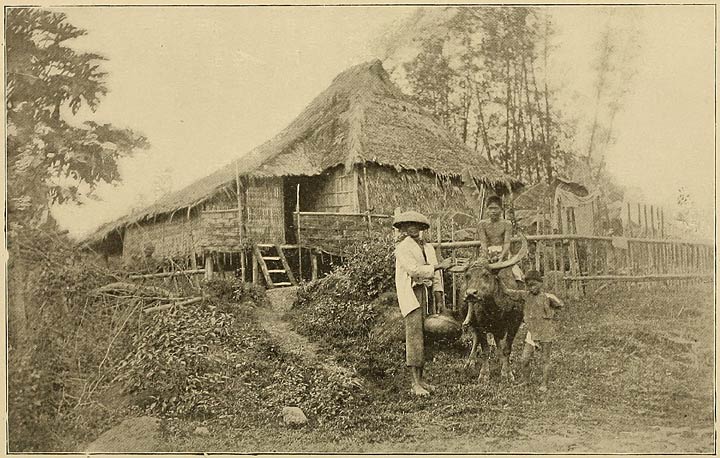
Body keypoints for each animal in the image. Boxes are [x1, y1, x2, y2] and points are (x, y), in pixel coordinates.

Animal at [462, 236, 528, 382]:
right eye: (467, 276)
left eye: (486, 275)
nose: (470, 294)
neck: (496, 309)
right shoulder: (480, 325)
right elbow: (485, 349)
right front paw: (484, 374)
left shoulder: (515, 323)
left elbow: (506, 348)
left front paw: (507, 372)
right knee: (475, 339)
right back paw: (470, 361)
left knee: (498, 340)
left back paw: (499, 358)